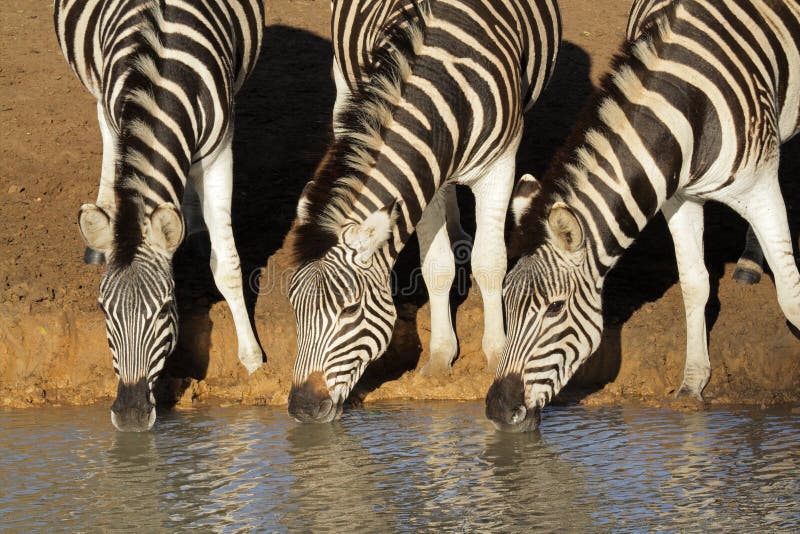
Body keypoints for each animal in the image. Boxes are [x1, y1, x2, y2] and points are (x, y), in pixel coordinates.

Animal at [54, 0, 266, 432]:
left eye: (167, 308)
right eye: (102, 310)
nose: (131, 415)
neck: (163, 76)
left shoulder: (220, 151)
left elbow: (227, 264)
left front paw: (252, 357)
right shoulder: (120, 117)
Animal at [290, 1, 564, 428]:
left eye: (349, 310)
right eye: (295, 310)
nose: (301, 407)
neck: (443, 92)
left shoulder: (501, 164)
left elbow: (491, 263)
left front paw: (496, 350)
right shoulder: (423, 180)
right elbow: (437, 267)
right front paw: (440, 356)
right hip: (345, 73)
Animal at [488, 0, 800, 434]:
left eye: (554, 309)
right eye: (505, 301)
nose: (498, 409)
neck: (684, 111)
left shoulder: (759, 186)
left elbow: (791, 294)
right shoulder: (680, 198)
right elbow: (694, 284)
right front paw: (692, 383)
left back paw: (752, 262)